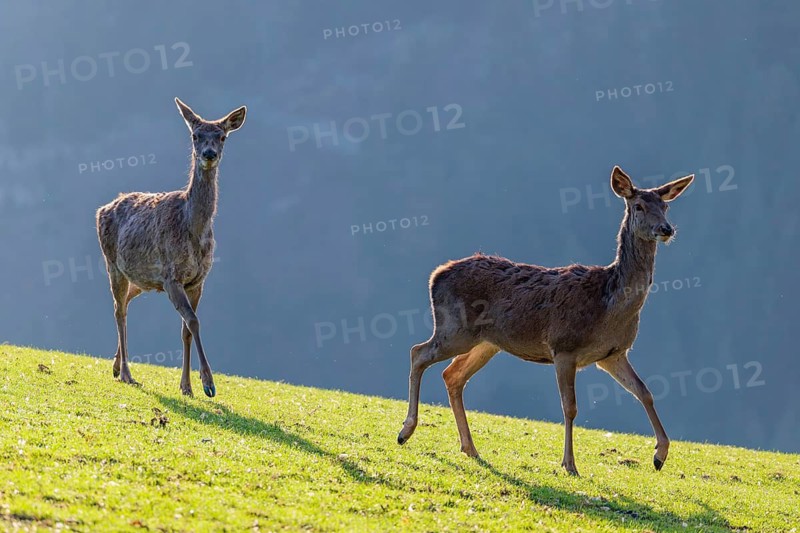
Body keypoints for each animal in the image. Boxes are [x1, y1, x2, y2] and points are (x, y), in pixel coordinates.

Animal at [96, 97, 246, 398]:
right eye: (195, 135)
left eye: (222, 136)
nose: (209, 154)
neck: (192, 229)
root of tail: (102, 209)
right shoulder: (171, 276)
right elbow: (194, 321)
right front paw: (208, 384)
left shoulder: (197, 280)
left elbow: (186, 328)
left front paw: (187, 386)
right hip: (113, 264)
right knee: (119, 310)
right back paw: (127, 373)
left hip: (142, 279)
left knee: (125, 301)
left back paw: (116, 367)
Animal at [397, 166, 694, 476]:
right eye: (638, 206)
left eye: (665, 206)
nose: (666, 229)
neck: (610, 306)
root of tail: (435, 275)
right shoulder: (564, 347)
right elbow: (570, 407)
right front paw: (569, 464)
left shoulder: (613, 354)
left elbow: (645, 392)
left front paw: (660, 455)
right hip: (454, 330)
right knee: (418, 352)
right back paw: (405, 431)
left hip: (487, 343)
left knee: (452, 375)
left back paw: (469, 448)